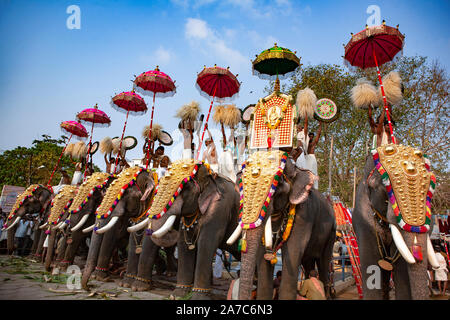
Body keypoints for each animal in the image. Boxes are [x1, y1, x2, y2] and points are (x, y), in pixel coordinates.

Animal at [129, 160, 243, 300]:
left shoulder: (220, 207)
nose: (172, 230)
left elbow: (207, 242)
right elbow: (183, 243)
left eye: (185, 188)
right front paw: (177, 296)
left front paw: (197, 297)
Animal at [227, 151, 336, 300]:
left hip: (332, 232)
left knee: (324, 261)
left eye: (277, 184)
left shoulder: (305, 214)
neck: (297, 169)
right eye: (242, 186)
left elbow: (293, 250)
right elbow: (262, 254)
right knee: (308, 261)